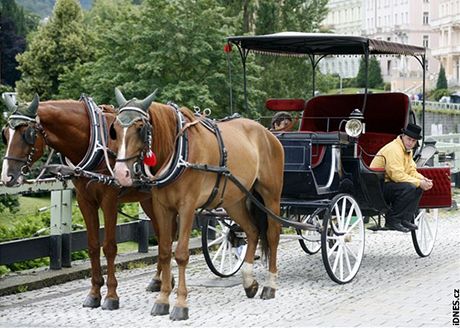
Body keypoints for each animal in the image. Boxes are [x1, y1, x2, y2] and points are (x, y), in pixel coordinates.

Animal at [0, 93, 172, 310]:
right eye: (5, 134)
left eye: (27, 134)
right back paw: (159, 280)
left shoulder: (109, 200)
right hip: (150, 200)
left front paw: (111, 296)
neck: (95, 140)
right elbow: (92, 246)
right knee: (162, 235)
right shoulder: (85, 200)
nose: (7, 177)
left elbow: (109, 247)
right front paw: (94, 293)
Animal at [111, 89, 284, 320]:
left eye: (140, 128)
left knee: (272, 236)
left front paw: (180, 304)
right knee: (253, 231)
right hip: (235, 201)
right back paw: (249, 282)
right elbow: (164, 252)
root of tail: (266, 132)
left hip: (271, 197)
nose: (121, 173)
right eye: (115, 129)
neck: (178, 150)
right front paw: (162, 299)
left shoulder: (187, 207)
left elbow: (181, 254)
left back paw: (270, 285)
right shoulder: (162, 208)